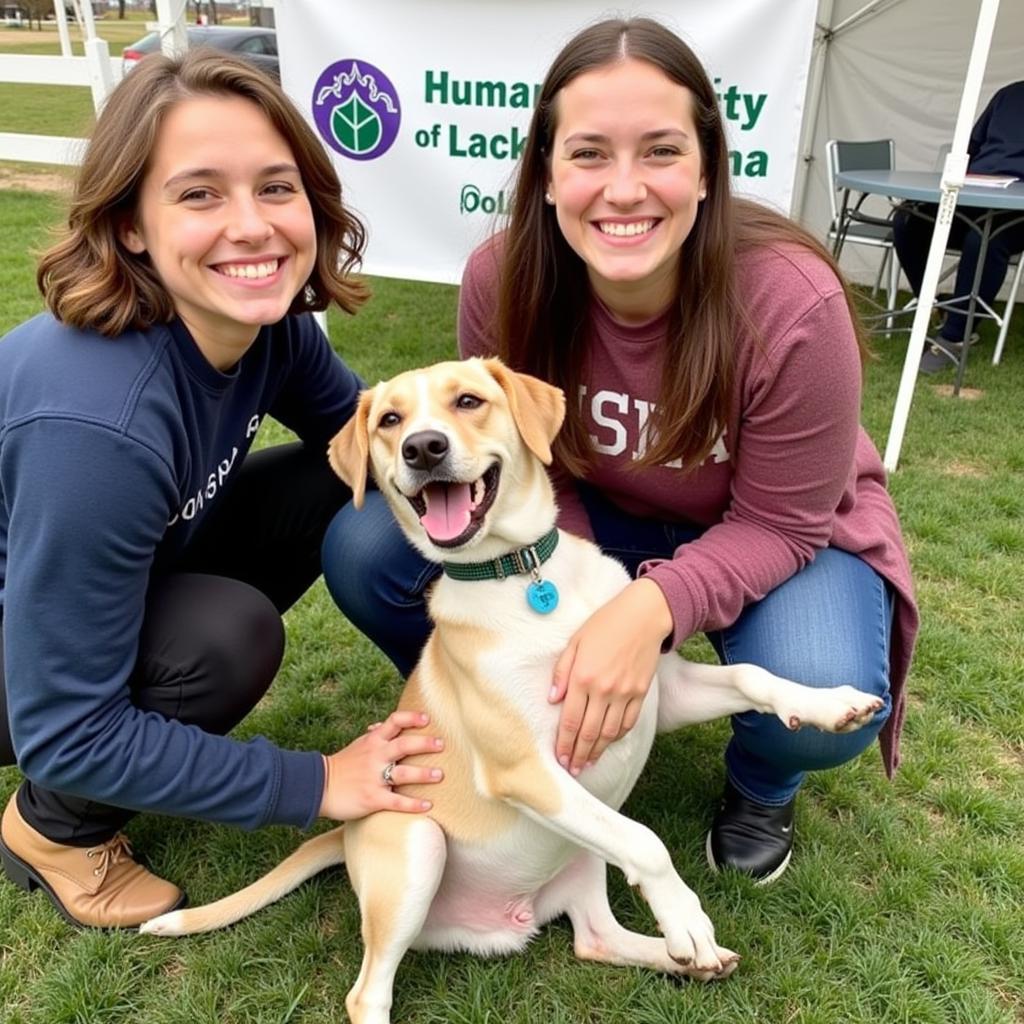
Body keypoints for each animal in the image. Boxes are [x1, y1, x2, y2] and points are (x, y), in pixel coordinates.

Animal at [140, 356, 884, 1019]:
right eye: (389, 419)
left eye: (468, 401)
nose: (424, 447)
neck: (524, 578)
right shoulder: (528, 769)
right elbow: (645, 839)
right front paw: (686, 918)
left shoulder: (648, 694)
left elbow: (750, 674)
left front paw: (831, 704)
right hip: (421, 847)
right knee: (368, 993)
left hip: (579, 857)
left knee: (595, 939)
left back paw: (690, 961)